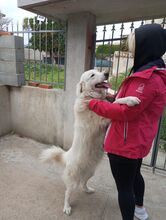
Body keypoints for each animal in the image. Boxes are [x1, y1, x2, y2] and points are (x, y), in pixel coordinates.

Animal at [40, 70, 140, 215]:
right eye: (92, 75)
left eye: (98, 71)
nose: (106, 73)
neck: (89, 97)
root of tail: (67, 156)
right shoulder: (104, 117)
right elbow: (115, 103)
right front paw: (130, 99)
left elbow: (113, 100)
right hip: (73, 180)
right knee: (67, 193)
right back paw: (67, 207)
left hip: (90, 172)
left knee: (83, 183)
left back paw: (88, 190)